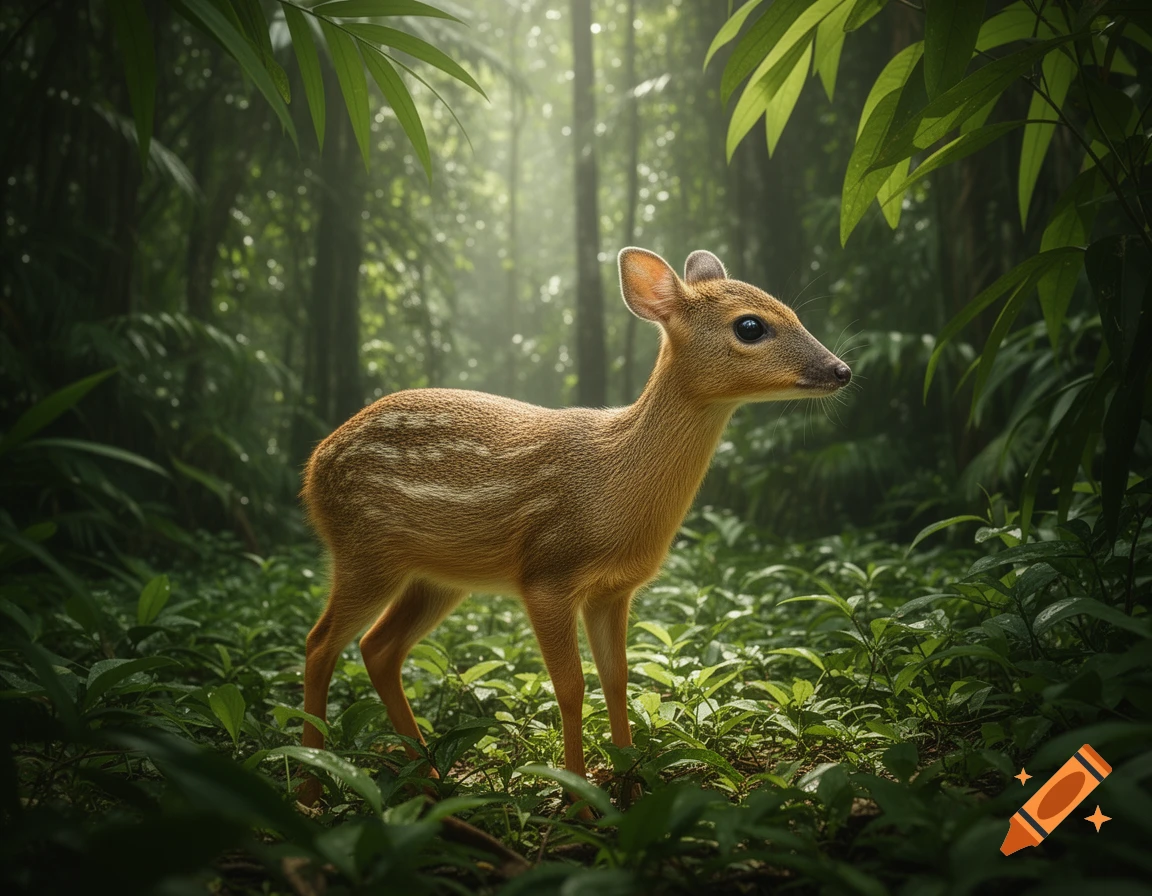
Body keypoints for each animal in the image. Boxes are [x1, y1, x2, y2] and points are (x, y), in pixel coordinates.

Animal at [298, 247, 851, 810]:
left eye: (794, 312)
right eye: (750, 326)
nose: (842, 369)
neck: (611, 485)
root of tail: (312, 469)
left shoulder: (613, 590)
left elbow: (618, 678)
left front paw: (629, 784)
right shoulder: (546, 573)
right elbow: (569, 686)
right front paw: (581, 800)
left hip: (438, 577)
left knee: (378, 648)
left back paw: (431, 778)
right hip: (365, 548)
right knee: (320, 644)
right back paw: (309, 787)